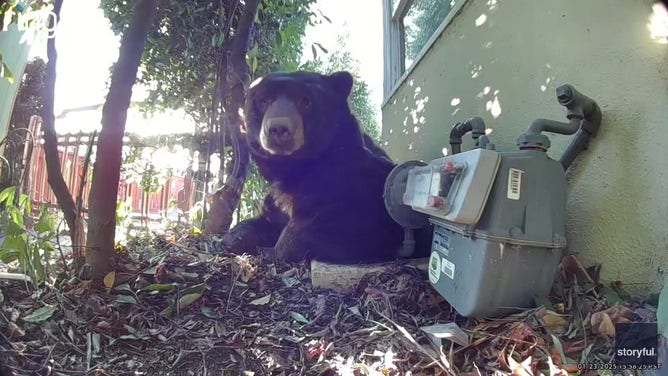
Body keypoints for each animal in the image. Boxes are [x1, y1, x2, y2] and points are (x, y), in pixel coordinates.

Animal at [220, 71, 408, 264]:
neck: (297, 167)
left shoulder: (357, 185)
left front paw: (271, 251)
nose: (278, 129)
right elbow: (266, 218)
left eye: (305, 101)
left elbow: (340, 227)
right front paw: (232, 239)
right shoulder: (276, 200)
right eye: (264, 100)